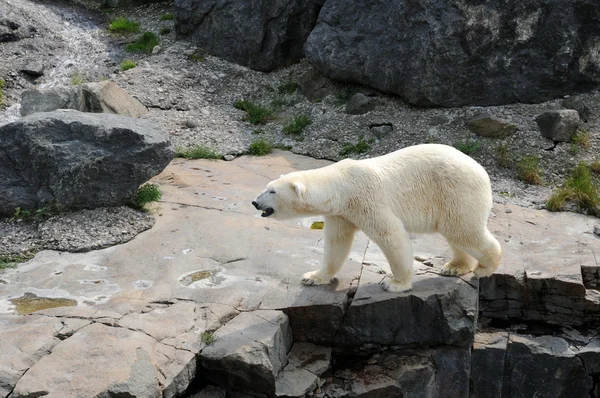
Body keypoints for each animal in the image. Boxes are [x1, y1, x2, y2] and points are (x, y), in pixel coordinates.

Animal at [251, 144, 504, 292]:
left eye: (272, 191)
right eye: (267, 187)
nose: (255, 202)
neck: (342, 186)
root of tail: (480, 169)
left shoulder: (367, 200)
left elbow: (391, 235)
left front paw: (396, 283)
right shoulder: (341, 212)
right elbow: (336, 243)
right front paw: (313, 277)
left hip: (456, 190)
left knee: (463, 230)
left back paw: (485, 268)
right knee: (455, 230)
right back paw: (454, 267)